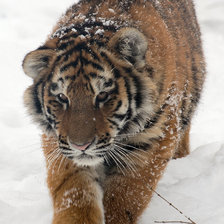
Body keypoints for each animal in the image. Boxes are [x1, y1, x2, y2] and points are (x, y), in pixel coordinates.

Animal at [22, 0, 205, 224]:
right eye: (62, 98)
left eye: (102, 95)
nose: (81, 146)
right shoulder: (60, 145)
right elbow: (74, 194)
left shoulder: (152, 141)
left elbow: (125, 197)